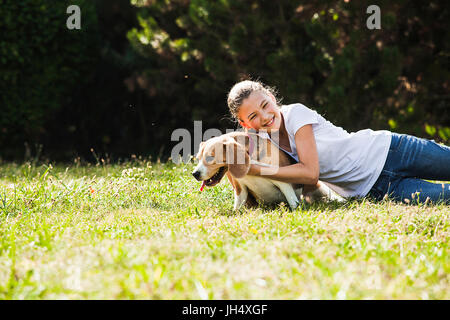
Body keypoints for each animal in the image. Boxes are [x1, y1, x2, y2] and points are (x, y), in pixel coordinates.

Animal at [191, 130, 344, 210]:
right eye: (198, 158)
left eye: (210, 158)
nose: (194, 174)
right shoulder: (241, 188)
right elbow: (237, 206)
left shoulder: (284, 182)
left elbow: (293, 202)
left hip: (321, 188)